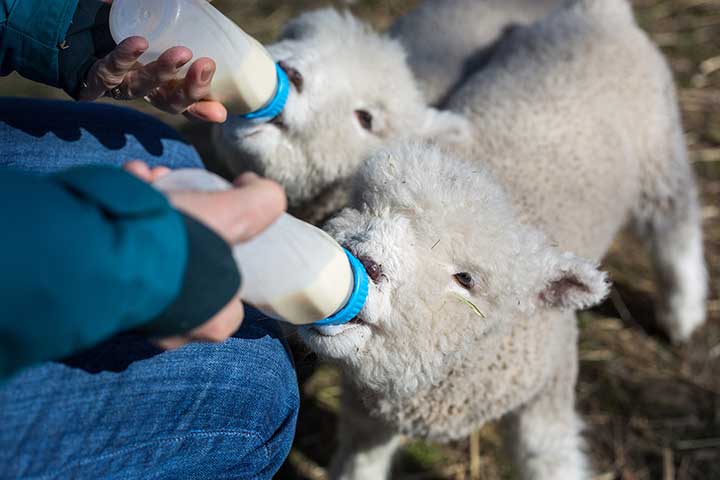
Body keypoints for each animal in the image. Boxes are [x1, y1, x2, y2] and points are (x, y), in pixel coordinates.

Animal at [292, 0, 704, 480]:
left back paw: (683, 314)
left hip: (661, 153)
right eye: (365, 205)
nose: (360, 261)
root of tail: (598, 14)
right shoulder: (367, 414)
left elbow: (548, 460)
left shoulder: (548, 388)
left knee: (676, 229)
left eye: (465, 279)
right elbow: (360, 462)